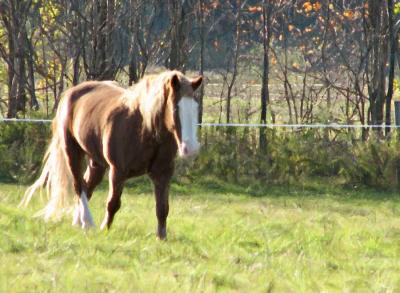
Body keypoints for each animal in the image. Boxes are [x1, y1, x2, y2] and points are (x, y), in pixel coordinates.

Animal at [21, 69, 203, 238]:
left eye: (195, 107)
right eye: (175, 107)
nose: (191, 148)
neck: (145, 128)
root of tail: (71, 93)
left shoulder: (163, 173)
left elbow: (162, 208)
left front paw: (161, 237)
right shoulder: (118, 171)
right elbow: (113, 203)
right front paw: (105, 230)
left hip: (97, 162)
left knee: (87, 186)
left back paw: (78, 222)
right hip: (72, 151)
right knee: (79, 185)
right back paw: (87, 221)